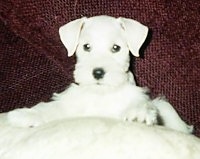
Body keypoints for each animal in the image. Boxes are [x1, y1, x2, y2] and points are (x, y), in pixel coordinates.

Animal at [7, 15, 193, 133]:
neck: (101, 95)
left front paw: (138, 114)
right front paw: (26, 114)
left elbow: (139, 104)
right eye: (86, 46)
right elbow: (51, 108)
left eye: (116, 48)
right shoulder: (71, 105)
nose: (97, 72)